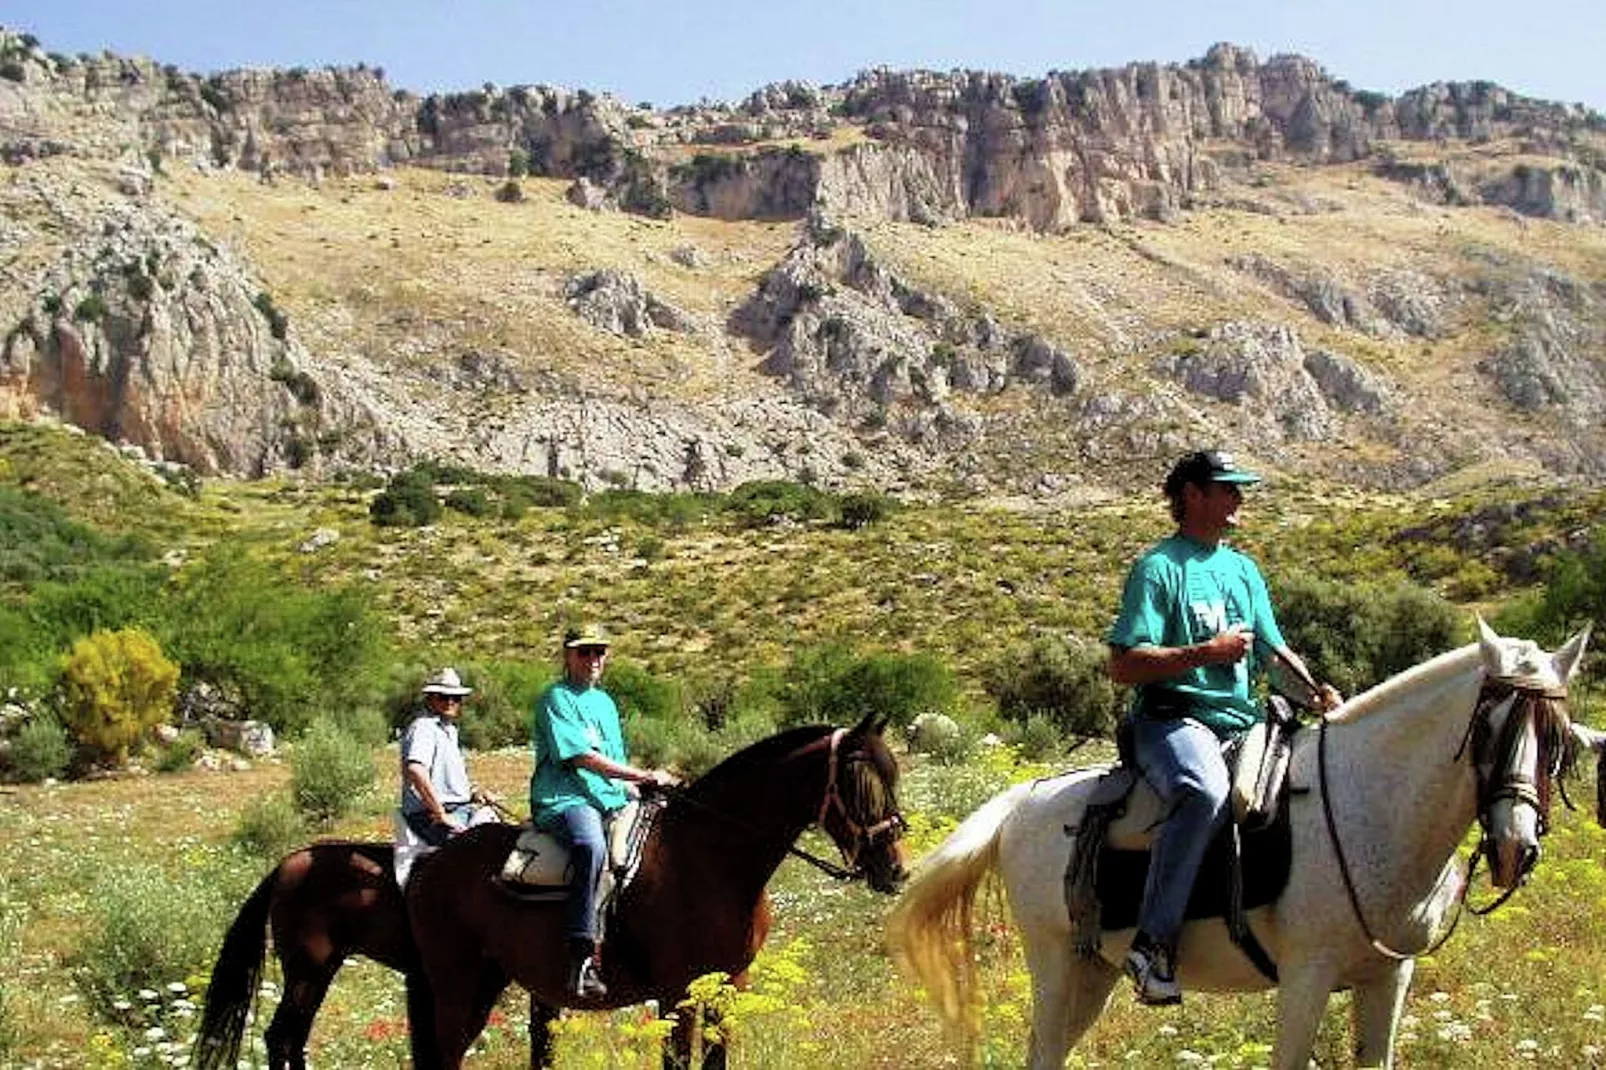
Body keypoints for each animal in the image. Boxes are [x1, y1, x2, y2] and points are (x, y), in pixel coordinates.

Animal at [404, 716, 905, 1066]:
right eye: (860, 783)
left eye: (893, 777)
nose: (895, 870)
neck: (709, 858)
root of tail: (432, 863)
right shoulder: (676, 993)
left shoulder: (729, 985)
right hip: (457, 983)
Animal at [892, 616, 1593, 1066]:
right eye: (1489, 726)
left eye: (1558, 734)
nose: (1515, 847)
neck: (1371, 801)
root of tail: (1022, 800)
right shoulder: (1307, 977)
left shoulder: (1390, 975)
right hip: (1056, 963)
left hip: (1093, 968)